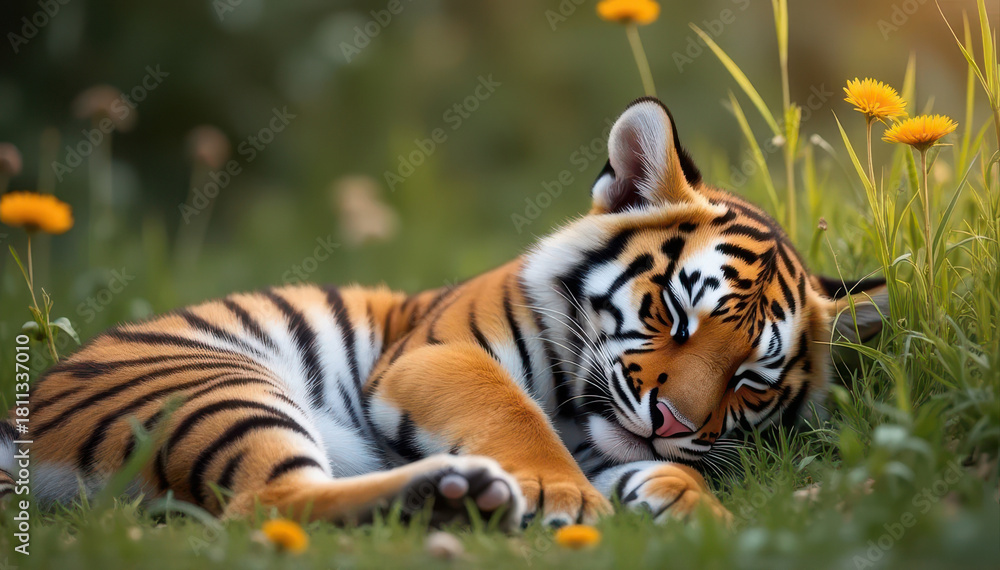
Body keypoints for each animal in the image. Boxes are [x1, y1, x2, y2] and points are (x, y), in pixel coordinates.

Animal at [1, 97, 887, 530]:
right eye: (674, 312)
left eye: (749, 379)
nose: (671, 421)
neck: (583, 412)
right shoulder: (440, 354)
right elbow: (512, 412)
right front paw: (561, 496)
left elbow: (661, 470)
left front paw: (700, 510)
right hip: (222, 385)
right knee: (264, 508)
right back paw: (453, 495)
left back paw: (457, 494)